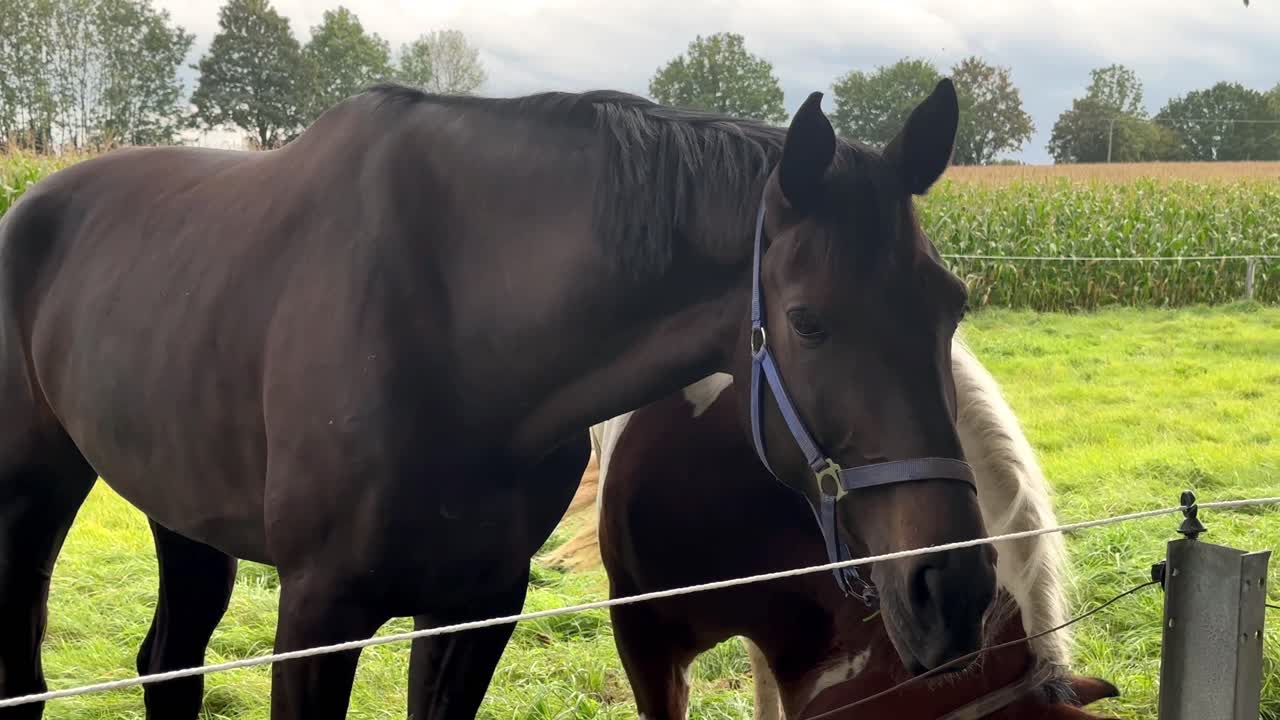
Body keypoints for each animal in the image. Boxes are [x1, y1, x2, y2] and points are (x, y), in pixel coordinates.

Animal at [1, 78, 994, 718]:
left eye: (952, 304)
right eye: (808, 321)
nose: (955, 591)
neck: (452, 331)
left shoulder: (477, 606)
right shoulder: (318, 612)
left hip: (185, 515)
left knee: (169, 664)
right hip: (34, 499)